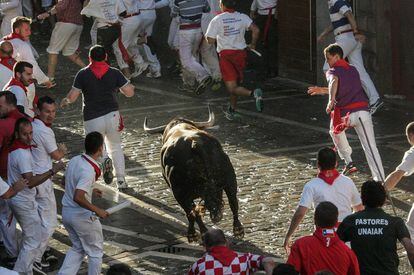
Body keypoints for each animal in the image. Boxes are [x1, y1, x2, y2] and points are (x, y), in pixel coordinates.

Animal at [144, 106, 244, 243]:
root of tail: (194, 143)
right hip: (229, 178)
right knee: (233, 202)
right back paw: (237, 230)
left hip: (180, 192)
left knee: (191, 212)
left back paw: (195, 234)